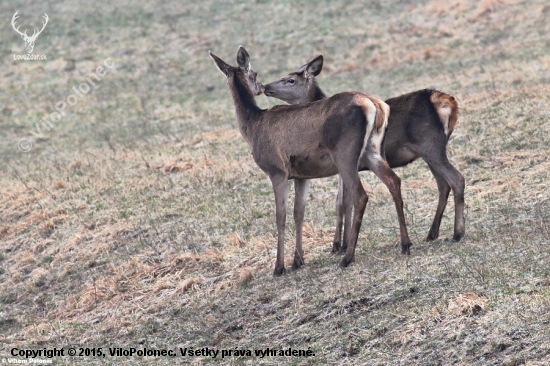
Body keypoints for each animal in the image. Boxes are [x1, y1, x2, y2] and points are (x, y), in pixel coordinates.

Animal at [209, 46, 408, 274]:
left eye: (255, 73)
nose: (262, 87)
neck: (252, 127)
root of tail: (375, 105)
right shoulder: (301, 174)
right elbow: (299, 212)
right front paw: (298, 260)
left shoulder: (277, 171)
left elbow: (281, 216)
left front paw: (279, 267)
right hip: (373, 150)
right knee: (393, 180)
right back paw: (405, 244)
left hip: (345, 153)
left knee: (360, 195)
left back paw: (347, 257)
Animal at [264, 55, 466, 253]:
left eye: (290, 79)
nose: (266, 87)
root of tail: (447, 101)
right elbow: (341, 202)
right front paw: (339, 244)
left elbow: (344, 203)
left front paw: (341, 245)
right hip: (430, 151)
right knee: (443, 184)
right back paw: (432, 233)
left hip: (430, 144)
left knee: (456, 178)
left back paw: (457, 233)